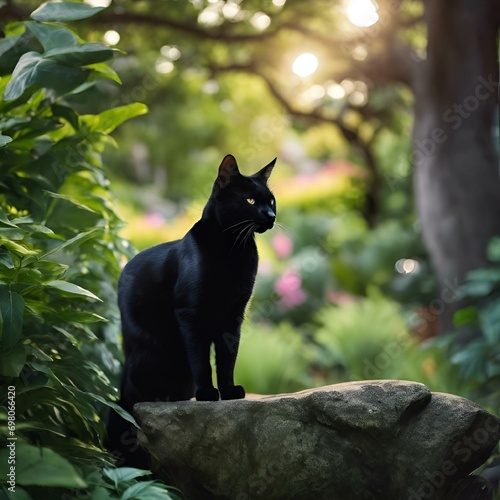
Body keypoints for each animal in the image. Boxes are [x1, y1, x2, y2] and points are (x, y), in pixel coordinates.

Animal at [106, 154, 278, 466]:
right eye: (249, 200)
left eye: (271, 200)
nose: (271, 216)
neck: (233, 249)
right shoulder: (190, 314)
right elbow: (202, 360)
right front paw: (208, 393)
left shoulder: (234, 318)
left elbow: (227, 359)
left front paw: (229, 392)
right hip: (148, 355)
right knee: (134, 400)